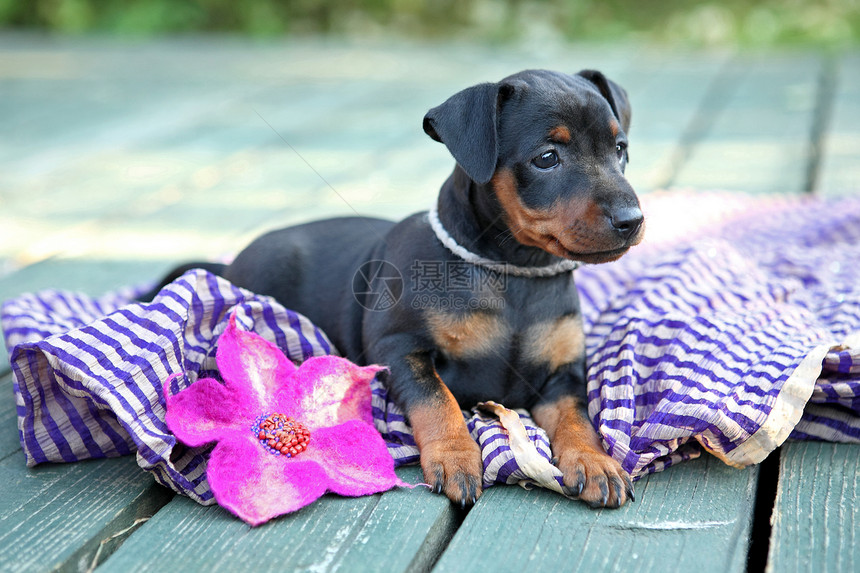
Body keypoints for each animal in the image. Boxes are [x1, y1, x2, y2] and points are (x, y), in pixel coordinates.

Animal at [153, 68, 644, 510]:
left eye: (620, 150)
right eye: (546, 158)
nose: (633, 220)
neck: (514, 272)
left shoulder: (561, 374)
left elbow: (578, 417)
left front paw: (596, 463)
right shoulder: (399, 348)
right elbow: (437, 399)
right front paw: (456, 455)